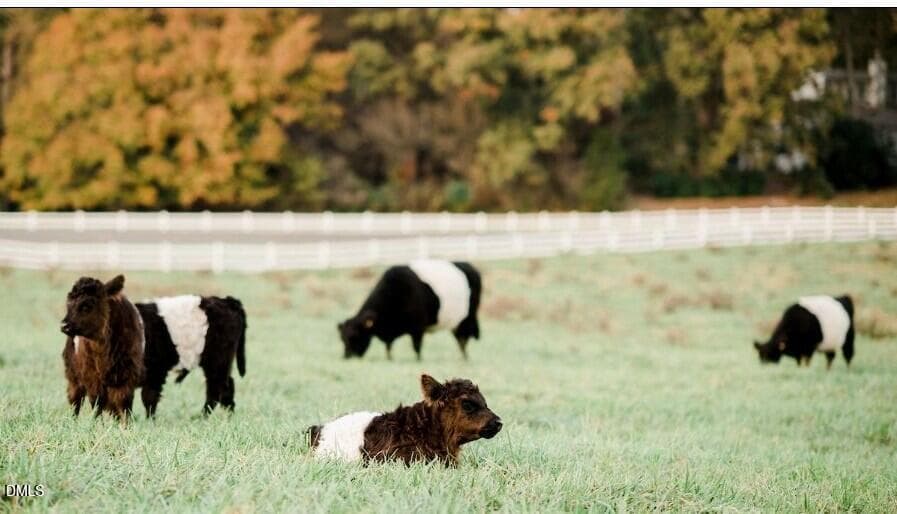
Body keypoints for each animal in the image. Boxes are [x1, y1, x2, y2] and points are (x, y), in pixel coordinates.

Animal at [338, 260, 482, 361]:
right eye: (342, 338)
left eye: (355, 336)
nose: (346, 357)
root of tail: (469, 266)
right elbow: (388, 347)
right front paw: (389, 359)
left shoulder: (418, 328)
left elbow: (417, 347)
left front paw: (418, 360)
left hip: (466, 320)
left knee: (462, 340)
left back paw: (464, 358)